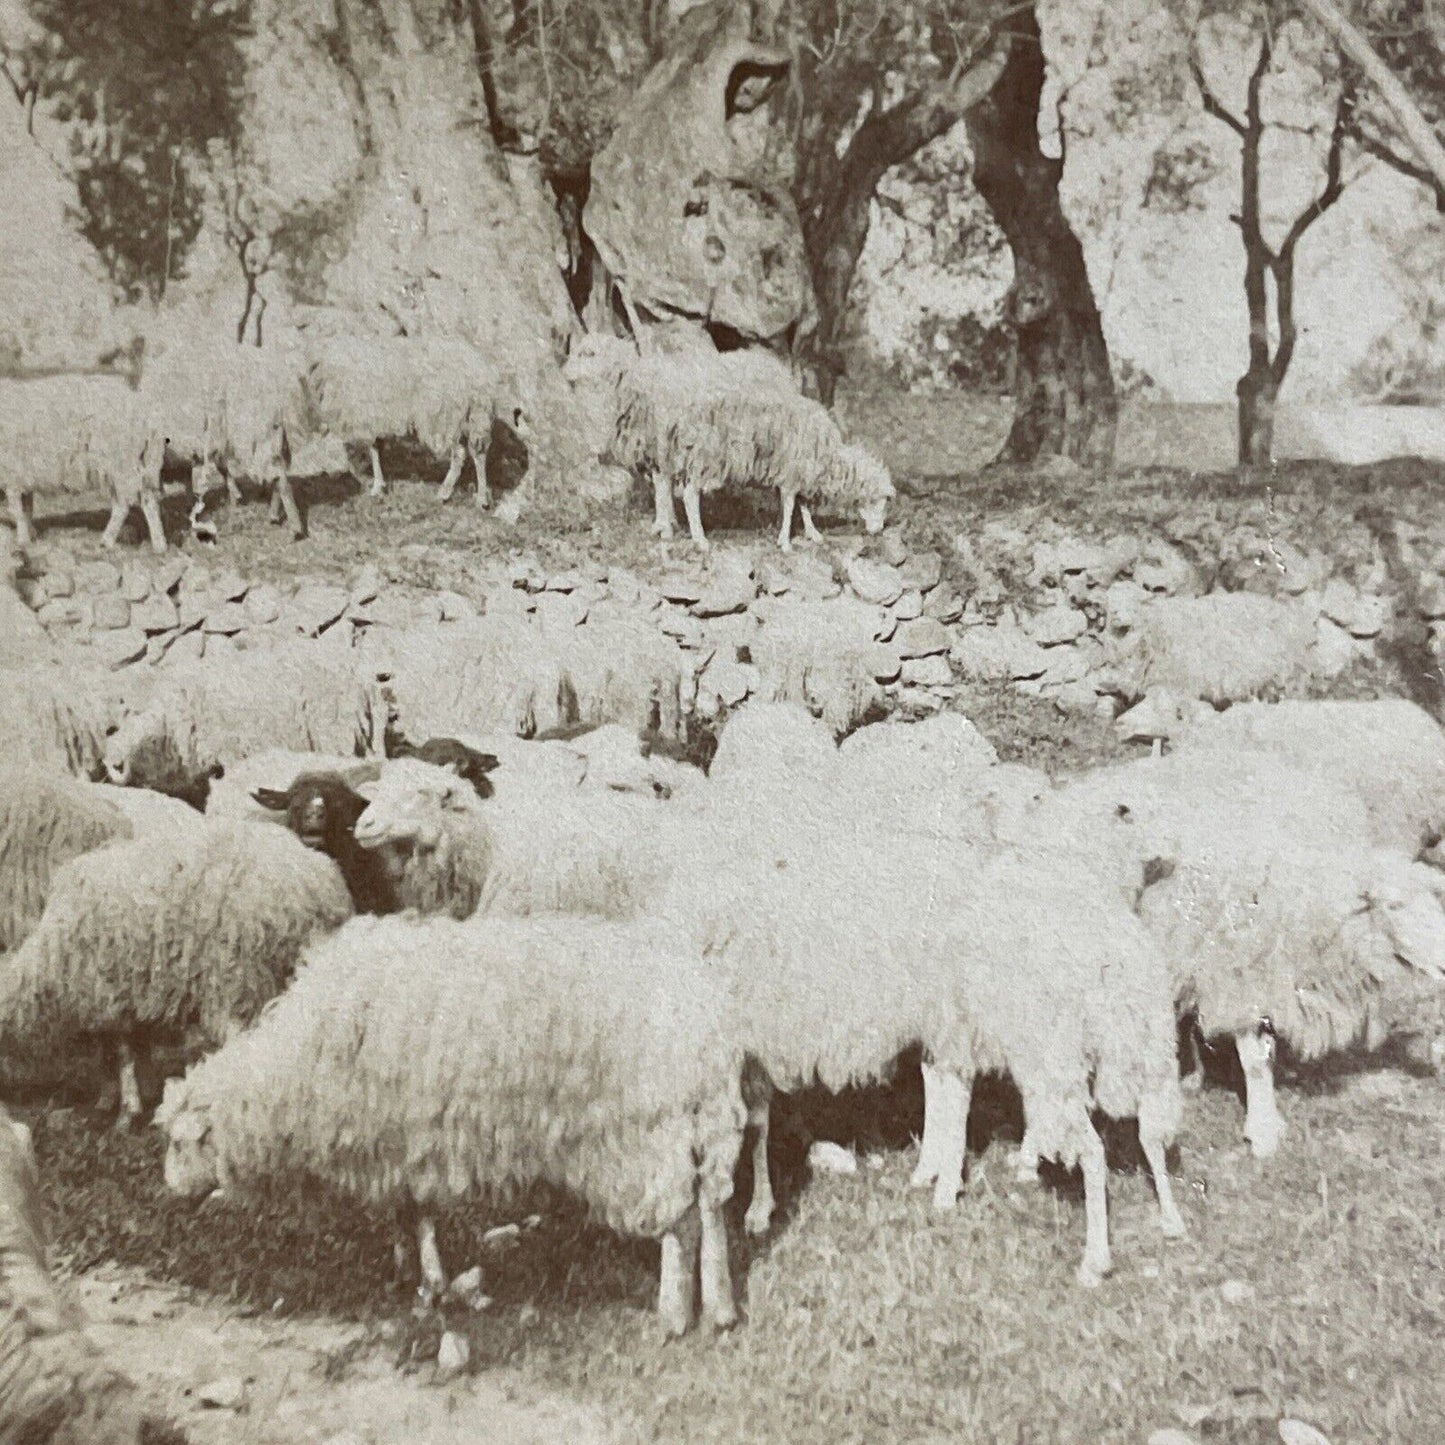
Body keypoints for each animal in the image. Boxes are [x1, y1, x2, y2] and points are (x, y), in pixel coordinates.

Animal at [4, 820, 354, 1121]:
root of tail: (315, 880)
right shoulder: (125, 996)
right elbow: (127, 1049)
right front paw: (123, 1097)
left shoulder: (110, 990)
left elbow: (121, 1052)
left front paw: (127, 1109)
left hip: (234, 973)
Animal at [156, 907, 745, 1335]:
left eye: (184, 1145)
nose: (171, 1191)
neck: (292, 1068)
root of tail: (703, 1018)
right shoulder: (391, 1141)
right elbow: (400, 1209)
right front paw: (403, 1268)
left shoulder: (404, 1134)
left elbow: (418, 1213)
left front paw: (430, 1281)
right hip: (695, 1123)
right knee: (710, 1210)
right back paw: (720, 1310)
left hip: (644, 1133)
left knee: (681, 1222)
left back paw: (674, 1315)